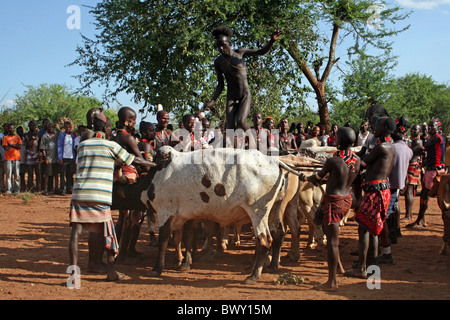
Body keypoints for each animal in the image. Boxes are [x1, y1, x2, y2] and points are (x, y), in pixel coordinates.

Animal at [111, 145, 304, 282]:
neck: (155, 177)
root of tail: (274, 161)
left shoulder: (165, 213)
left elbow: (164, 241)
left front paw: (157, 269)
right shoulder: (184, 216)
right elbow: (183, 239)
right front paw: (182, 263)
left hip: (257, 212)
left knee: (264, 240)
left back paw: (253, 276)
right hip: (274, 210)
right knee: (276, 234)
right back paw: (261, 266)